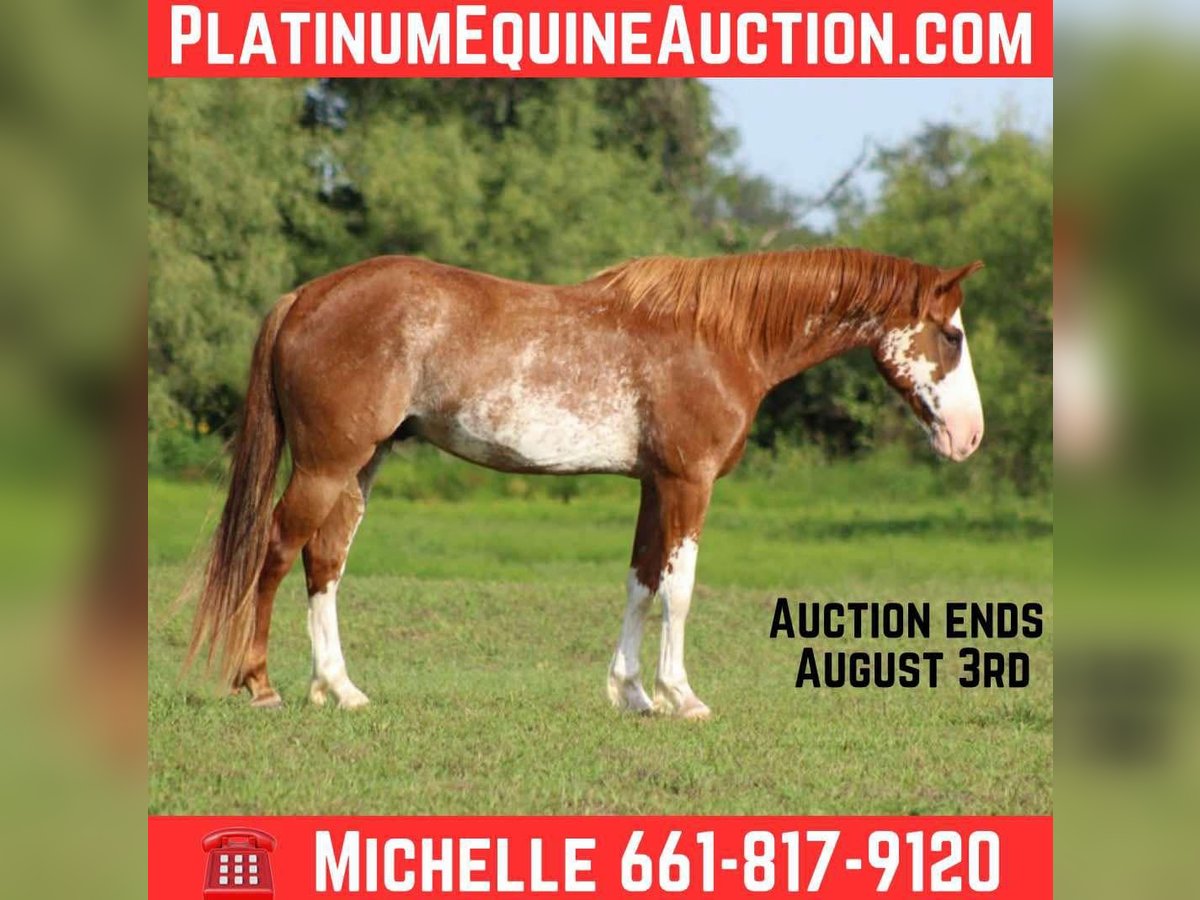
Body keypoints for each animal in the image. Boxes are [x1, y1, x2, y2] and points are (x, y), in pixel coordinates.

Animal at [186, 247, 985, 719]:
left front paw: (631, 693)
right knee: (276, 551)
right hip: (326, 464)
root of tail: (307, 295)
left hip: (363, 463)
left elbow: (640, 583)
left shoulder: (653, 484)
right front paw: (680, 696)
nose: (968, 437)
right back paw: (261, 683)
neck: (719, 335)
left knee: (325, 561)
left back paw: (340, 688)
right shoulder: (688, 483)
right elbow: (680, 591)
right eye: (952, 336)